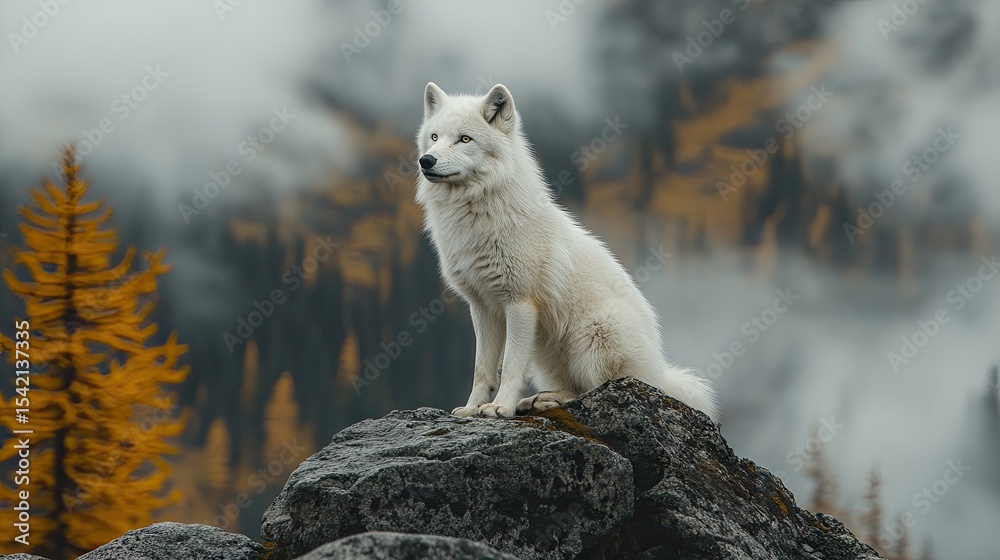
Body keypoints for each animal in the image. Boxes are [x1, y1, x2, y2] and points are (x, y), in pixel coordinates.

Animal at [414, 82, 719, 422]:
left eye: (465, 139)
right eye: (434, 137)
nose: (426, 160)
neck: (477, 218)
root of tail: (658, 376)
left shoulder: (520, 304)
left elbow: (511, 368)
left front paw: (500, 407)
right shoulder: (482, 308)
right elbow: (482, 370)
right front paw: (471, 409)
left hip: (595, 335)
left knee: (601, 390)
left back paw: (546, 402)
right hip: (545, 352)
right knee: (576, 387)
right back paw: (541, 399)